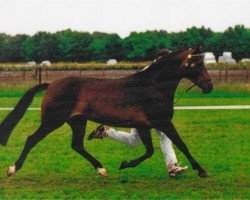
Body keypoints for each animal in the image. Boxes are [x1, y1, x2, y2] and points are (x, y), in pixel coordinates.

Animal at [0, 43, 213, 177]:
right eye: (197, 63)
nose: (209, 86)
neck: (153, 86)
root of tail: (51, 84)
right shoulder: (163, 122)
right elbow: (180, 145)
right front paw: (201, 170)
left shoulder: (144, 125)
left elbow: (150, 151)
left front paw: (125, 164)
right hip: (53, 121)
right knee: (32, 139)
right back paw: (12, 169)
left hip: (78, 121)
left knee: (77, 145)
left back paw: (101, 168)